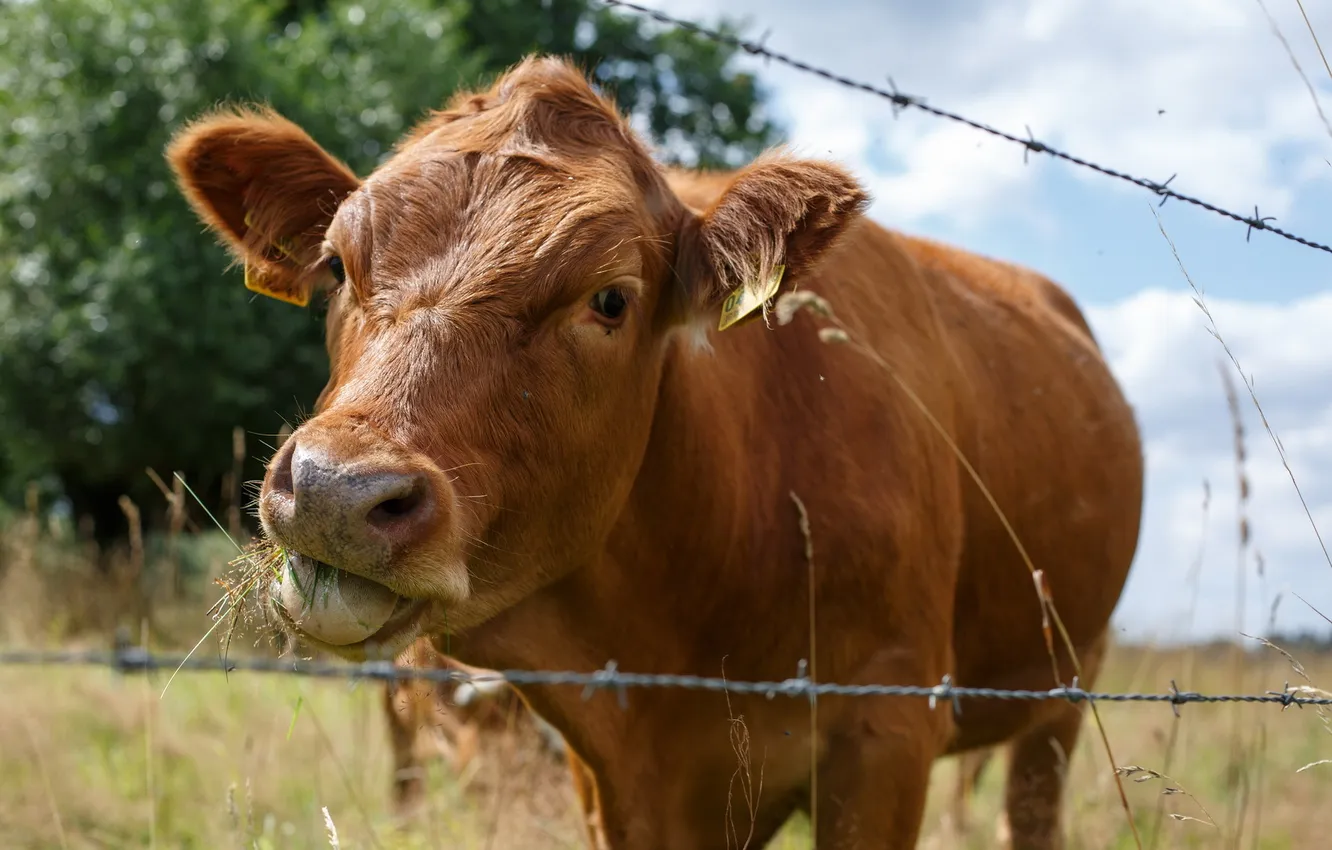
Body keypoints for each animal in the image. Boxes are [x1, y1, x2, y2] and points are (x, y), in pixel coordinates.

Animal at [166, 54, 1144, 849]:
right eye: (336, 265)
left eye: (610, 299)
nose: (336, 491)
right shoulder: (607, 767)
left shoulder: (888, 731)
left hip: (1067, 683)